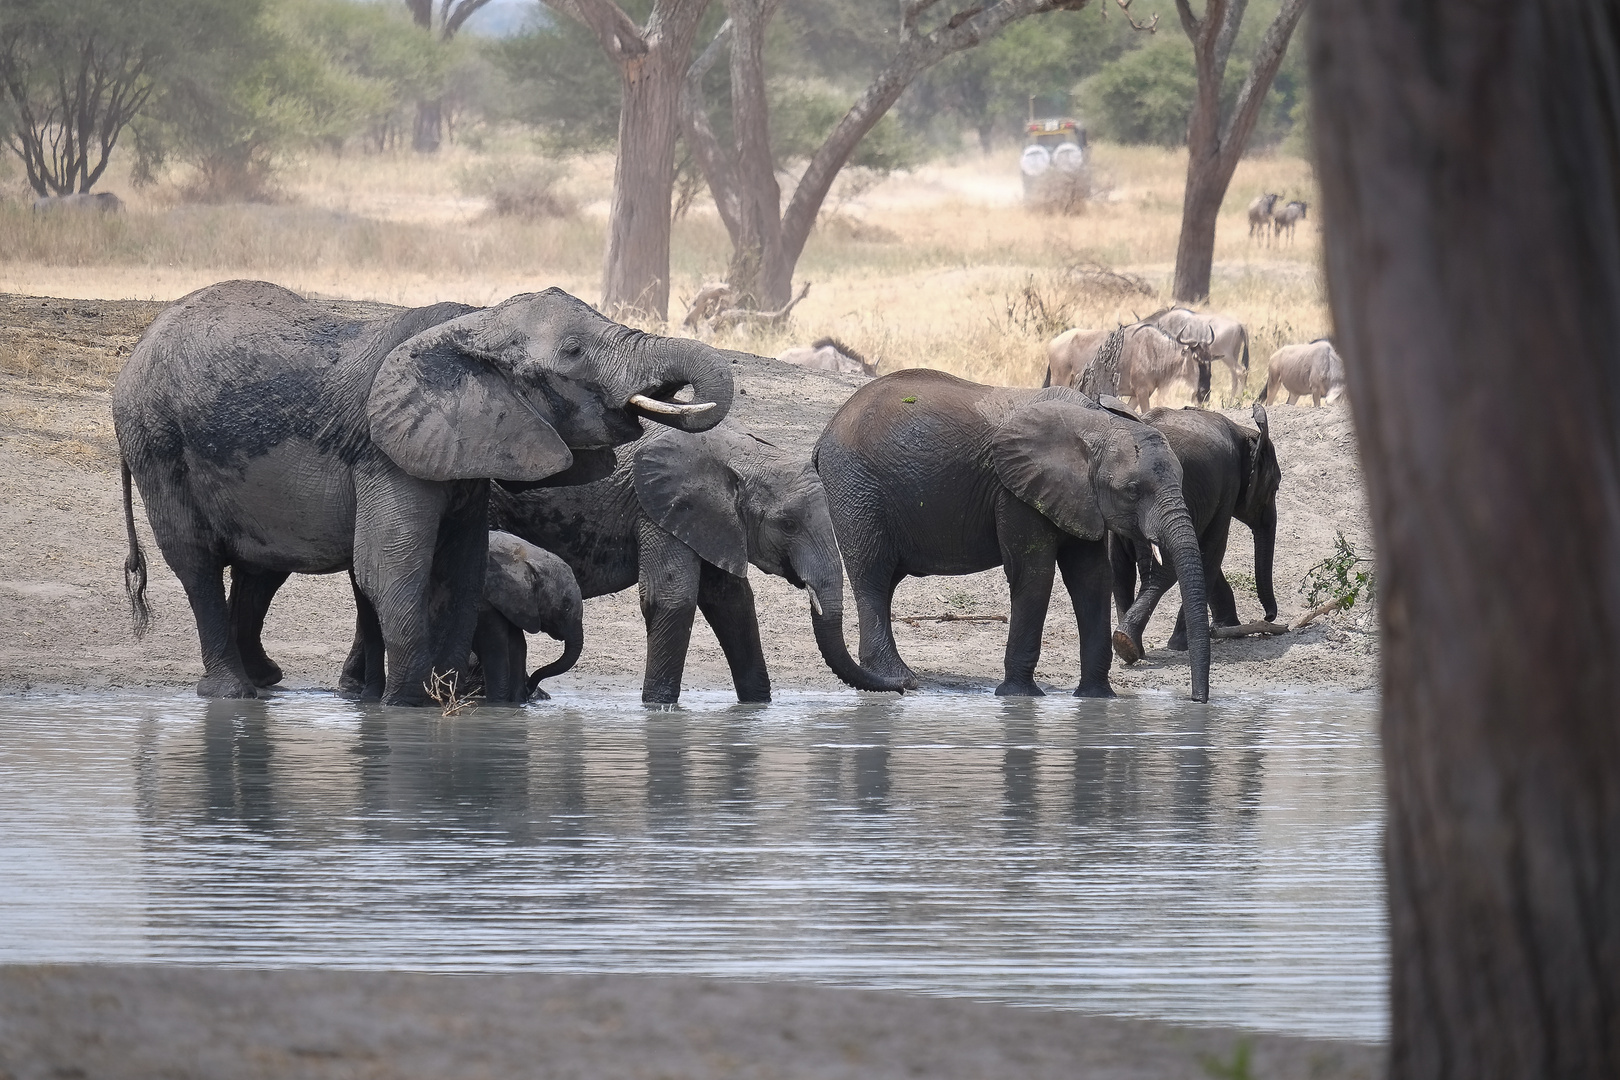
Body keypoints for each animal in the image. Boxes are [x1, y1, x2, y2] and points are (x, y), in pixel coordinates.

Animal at [117, 278, 738, 705]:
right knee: (196, 561)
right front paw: (407, 706)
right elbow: (389, 566)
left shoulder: (467, 453)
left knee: (260, 568)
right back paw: (232, 692)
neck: (476, 325)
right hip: (156, 442)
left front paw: (451, 695)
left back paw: (266, 680)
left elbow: (462, 567)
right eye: (572, 353)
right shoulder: (387, 450)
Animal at [486, 424, 907, 709]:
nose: (906, 687)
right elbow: (673, 598)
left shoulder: (714, 521)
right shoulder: (662, 506)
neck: (736, 453)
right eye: (787, 524)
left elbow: (731, 601)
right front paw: (658, 708)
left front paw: (757, 707)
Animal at [816, 372, 1211, 705]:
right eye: (1132, 491)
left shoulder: (1080, 497)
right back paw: (900, 681)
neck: (1095, 424)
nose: (1197, 701)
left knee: (884, 581)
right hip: (856, 487)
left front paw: (1097, 700)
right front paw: (1020, 697)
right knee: (872, 574)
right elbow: (1034, 574)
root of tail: (826, 433)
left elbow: (1092, 578)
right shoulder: (1015, 491)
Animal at [1114, 403, 1276, 663]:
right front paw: (1186, 644)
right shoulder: (1228, 485)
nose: (1269, 617)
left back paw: (1131, 648)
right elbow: (1212, 551)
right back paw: (1130, 644)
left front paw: (1228, 627)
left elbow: (1200, 554)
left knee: (1119, 569)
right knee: (1161, 573)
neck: (1245, 432)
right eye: (1274, 488)